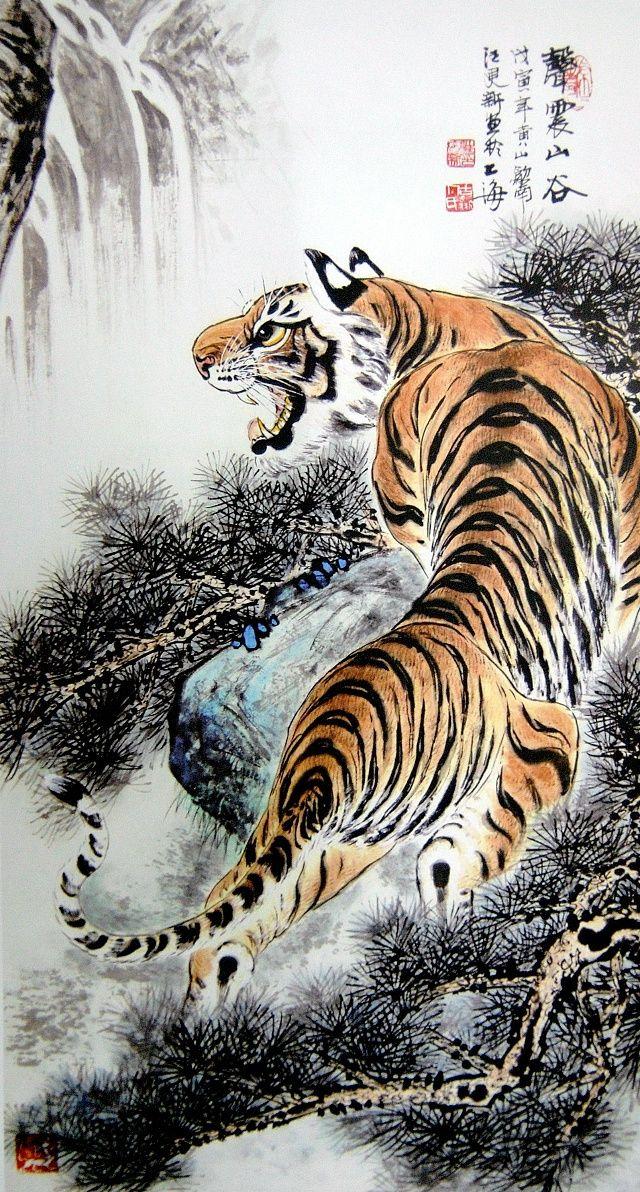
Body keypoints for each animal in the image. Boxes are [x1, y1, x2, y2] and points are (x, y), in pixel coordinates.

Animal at [51, 245, 640, 1014]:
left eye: (269, 327)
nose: (196, 356)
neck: (440, 327)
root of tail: (322, 760)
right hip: (512, 750)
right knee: (479, 834)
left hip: (340, 832)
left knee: (235, 903)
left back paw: (210, 1008)